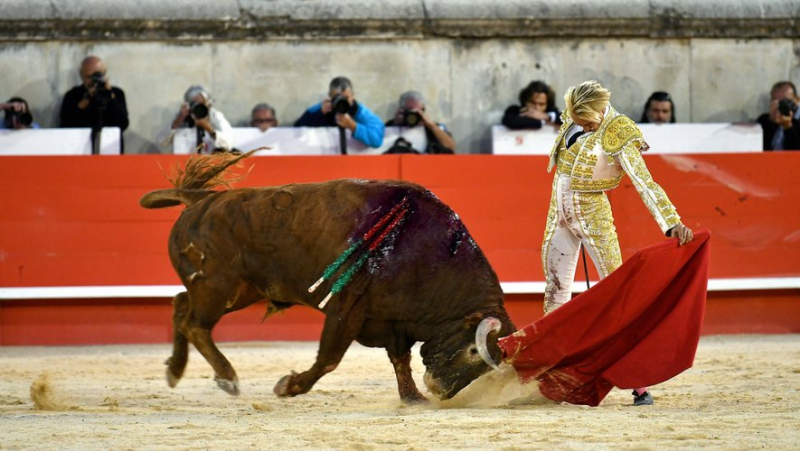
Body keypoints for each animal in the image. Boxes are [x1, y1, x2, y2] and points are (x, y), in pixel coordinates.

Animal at [141, 153, 516, 402]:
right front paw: (289, 386)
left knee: (180, 304)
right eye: (473, 351)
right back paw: (227, 377)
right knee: (194, 323)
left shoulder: (393, 320)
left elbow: (400, 359)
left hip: (239, 290)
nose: (441, 390)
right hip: (219, 288)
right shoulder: (347, 309)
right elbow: (329, 358)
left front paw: (412, 398)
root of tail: (201, 198)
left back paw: (175, 370)